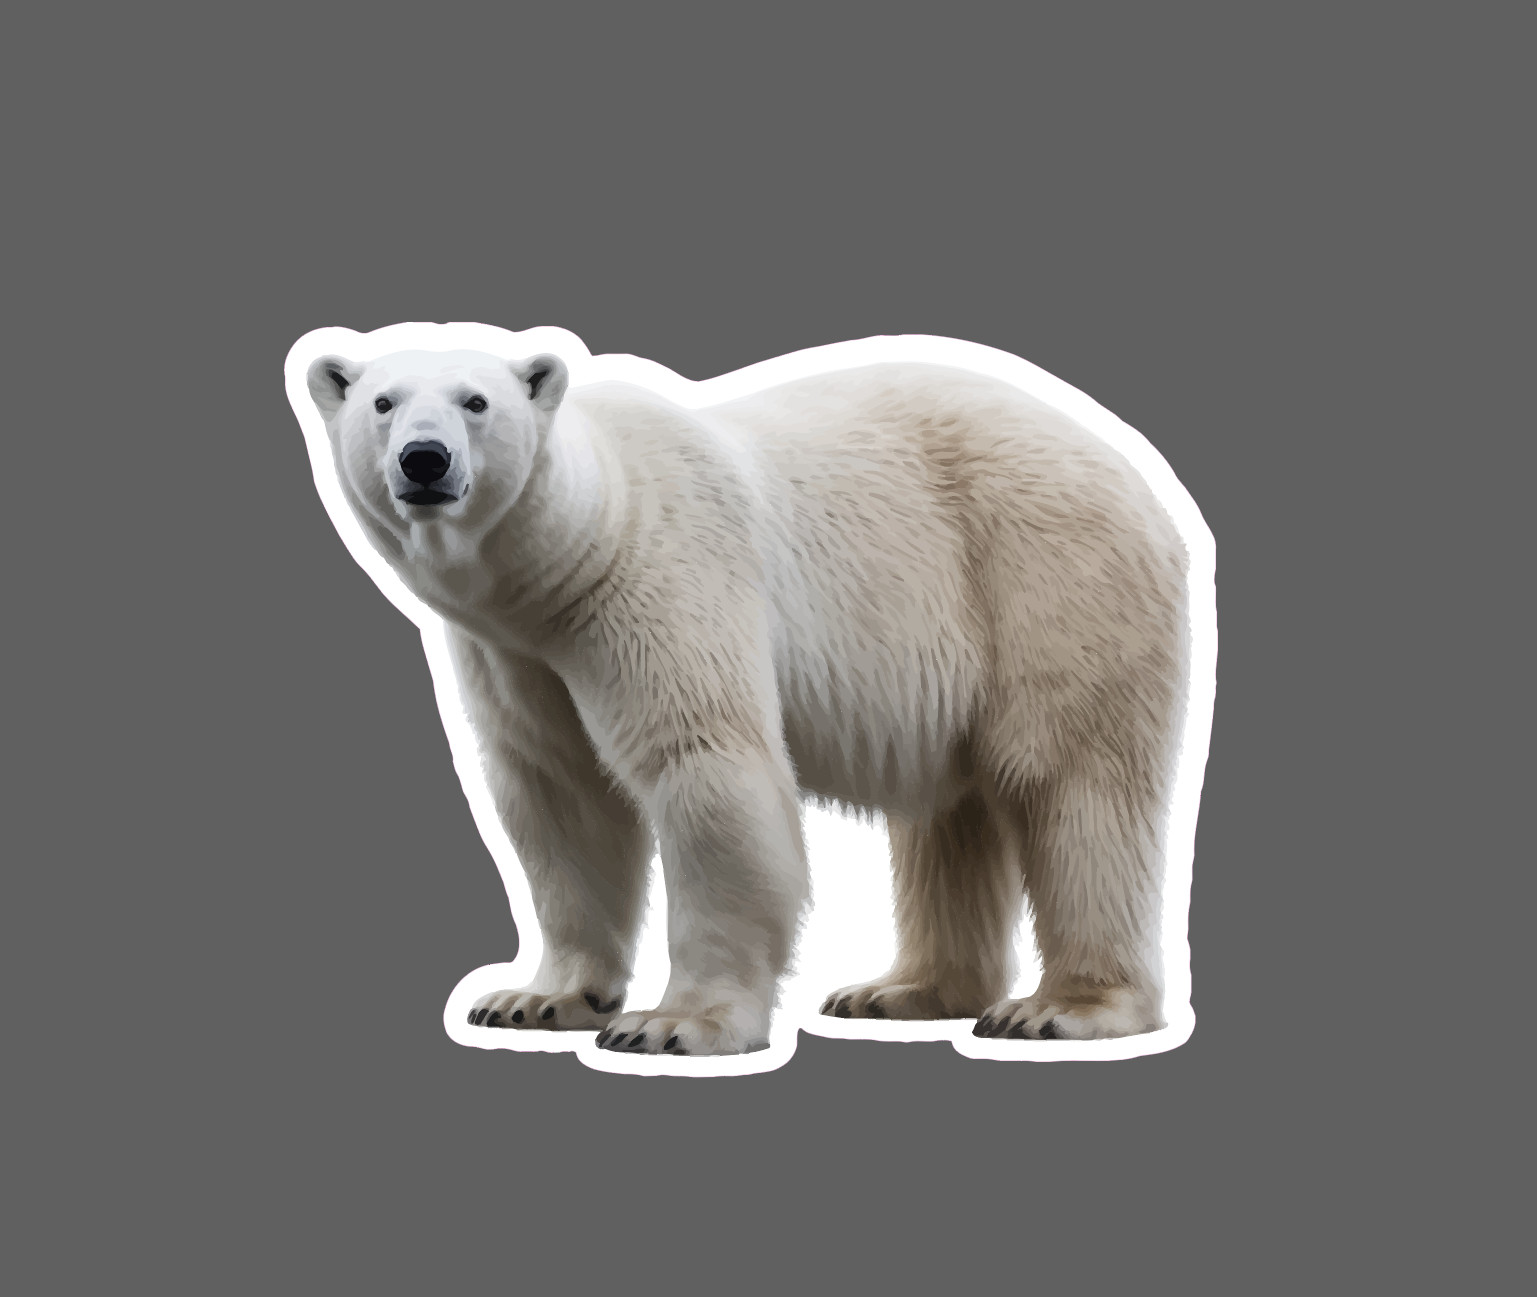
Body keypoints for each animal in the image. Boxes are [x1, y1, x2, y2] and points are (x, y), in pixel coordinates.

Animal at [304, 339, 1193, 1056]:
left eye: (475, 402)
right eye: (382, 402)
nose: (424, 460)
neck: (567, 562)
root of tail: (1141, 478)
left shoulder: (654, 579)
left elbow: (703, 763)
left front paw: (672, 1024)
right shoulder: (514, 655)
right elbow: (560, 797)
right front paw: (535, 998)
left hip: (1043, 574)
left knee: (1070, 778)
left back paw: (1059, 1007)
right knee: (953, 810)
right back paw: (897, 989)